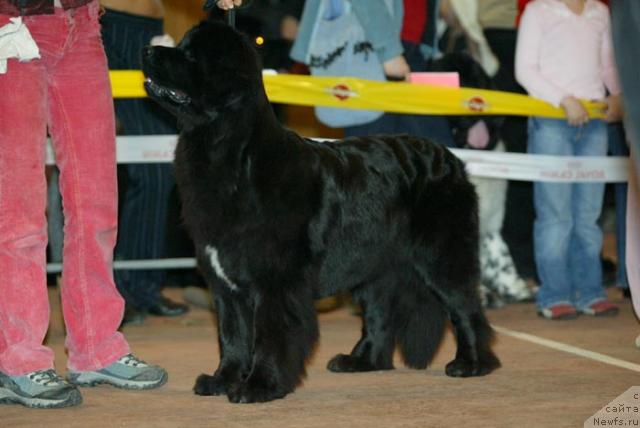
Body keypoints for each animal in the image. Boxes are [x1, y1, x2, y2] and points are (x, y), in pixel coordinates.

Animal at [142, 20, 502, 402]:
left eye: (192, 55)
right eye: (181, 45)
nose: (147, 50)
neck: (232, 154)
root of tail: (450, 159)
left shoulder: (275, 282)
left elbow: (269, 335)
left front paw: (259, 385)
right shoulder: (226, 284)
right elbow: (232, 335)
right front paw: (222, 380)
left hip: (441, 257)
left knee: (465, 308)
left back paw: (472, 363)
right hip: (375, 266)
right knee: (380, 313)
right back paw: (362, 360)